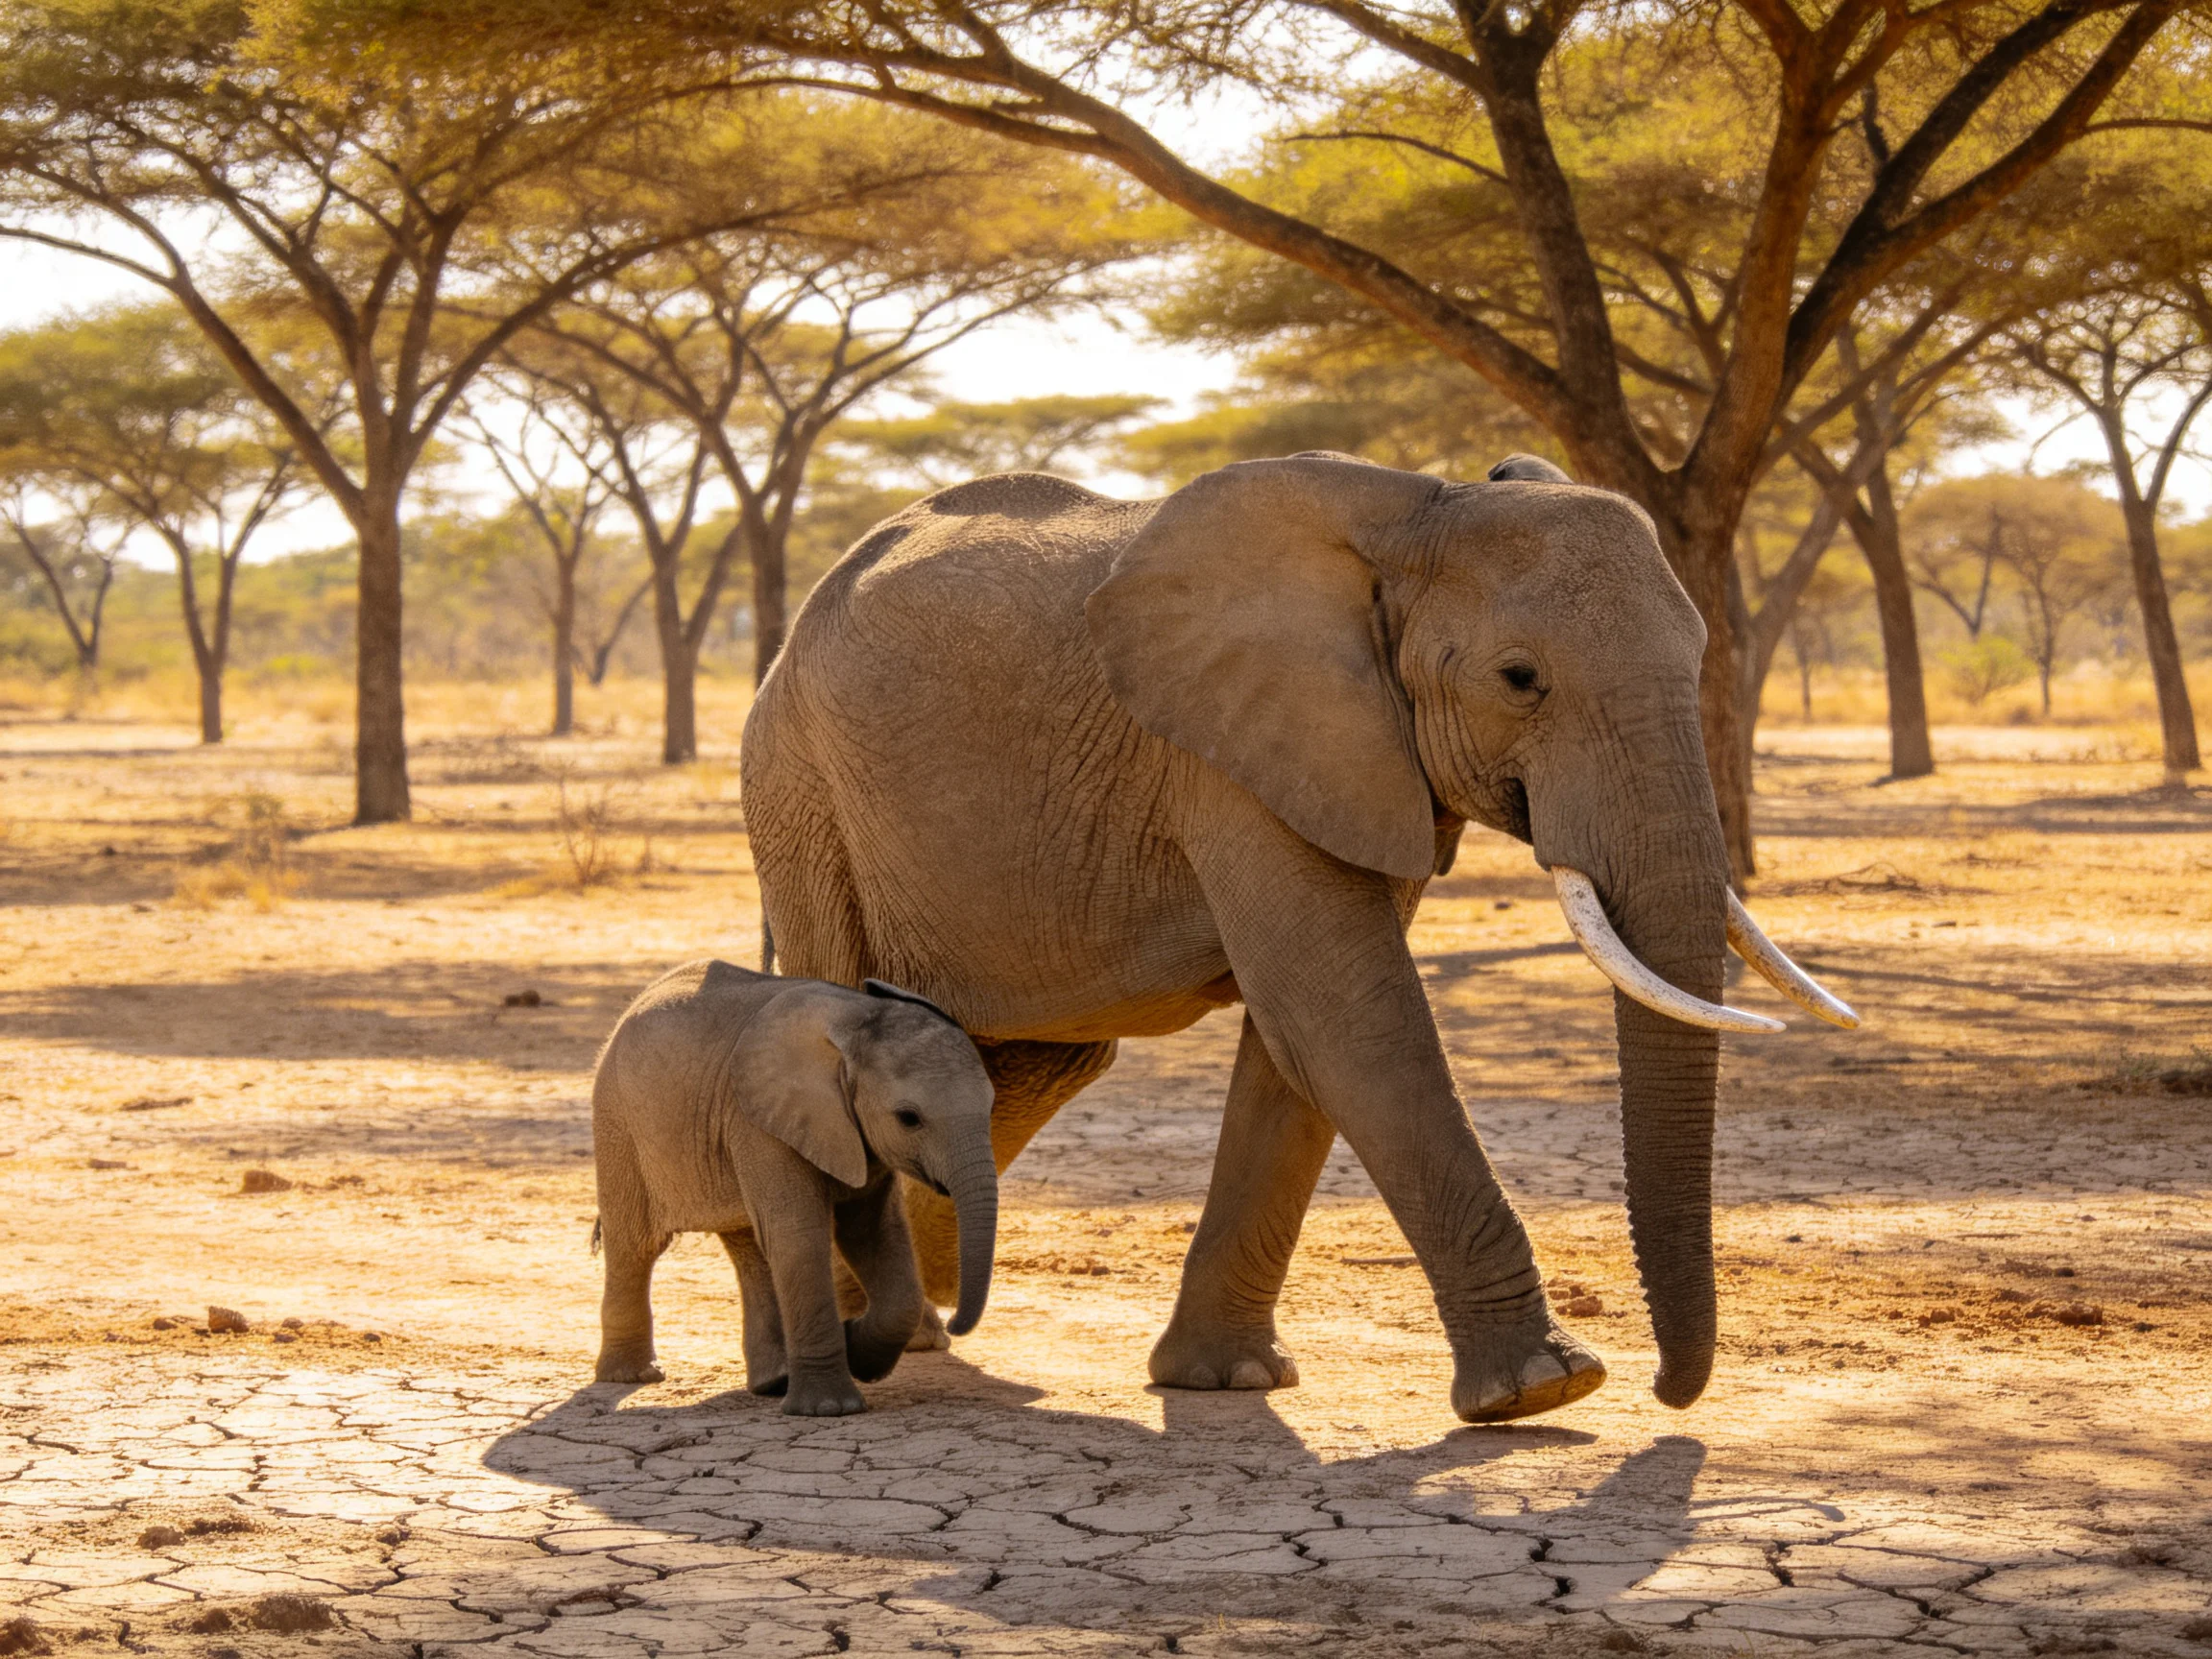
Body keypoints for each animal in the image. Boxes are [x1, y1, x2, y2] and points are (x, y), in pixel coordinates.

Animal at [591, 960, 997, 1415]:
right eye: (908, 1118)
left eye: (992, 1106)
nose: (955, 1324)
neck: (856, 1022)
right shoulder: (760, 1122)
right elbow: (801, 1234)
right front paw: (830, 1409)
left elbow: (874, 1234)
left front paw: (857, 1351)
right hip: (617, 1122)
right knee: (635, 1246)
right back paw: (633, 1376)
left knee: (749, 1248)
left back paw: (774, 1382)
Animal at [740, 452, 1856, 1423]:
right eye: (1519, 678)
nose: (1672, 1393)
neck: (1415, 514)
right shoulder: (1233, 752)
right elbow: (1347, 1020)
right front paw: (1545, 1388)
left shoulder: (1358, 754)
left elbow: (1298, 1042)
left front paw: (1224, 1380)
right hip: (798, 785)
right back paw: (861, 1333)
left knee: (1037, 1062)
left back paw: (921, 1316)